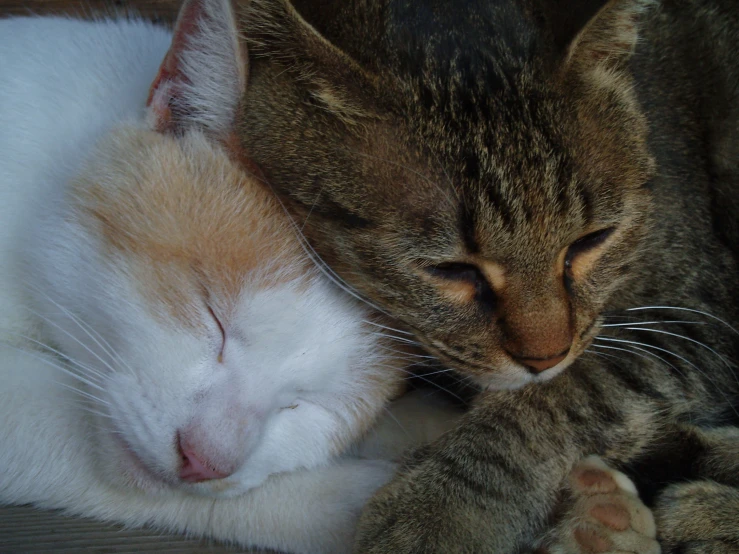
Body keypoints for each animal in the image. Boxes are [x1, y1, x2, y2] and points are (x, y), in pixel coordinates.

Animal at [186, 0, 739, 548]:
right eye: (450, 269)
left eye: (591, 241)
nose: (546, 356)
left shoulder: (695, 313)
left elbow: (563, 394)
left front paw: (443, 509)